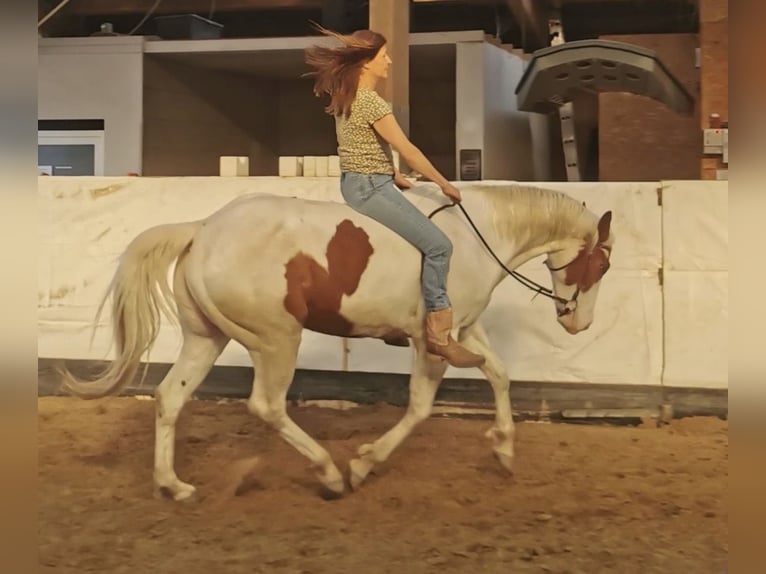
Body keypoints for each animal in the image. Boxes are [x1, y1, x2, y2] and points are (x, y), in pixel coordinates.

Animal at [59, 181, 614, 501]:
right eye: (603, 266)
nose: (581, 324)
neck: (478, 236)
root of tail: (203, 229)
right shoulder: (429, 340)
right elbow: (419, 407)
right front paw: (365, 463)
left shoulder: (462, 329)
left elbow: (499, 374)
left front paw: (503, 450)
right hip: (277, 339)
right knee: (267, 405)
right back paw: (328, 473)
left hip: (206, 338)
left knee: (170, 397)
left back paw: (173, 484)